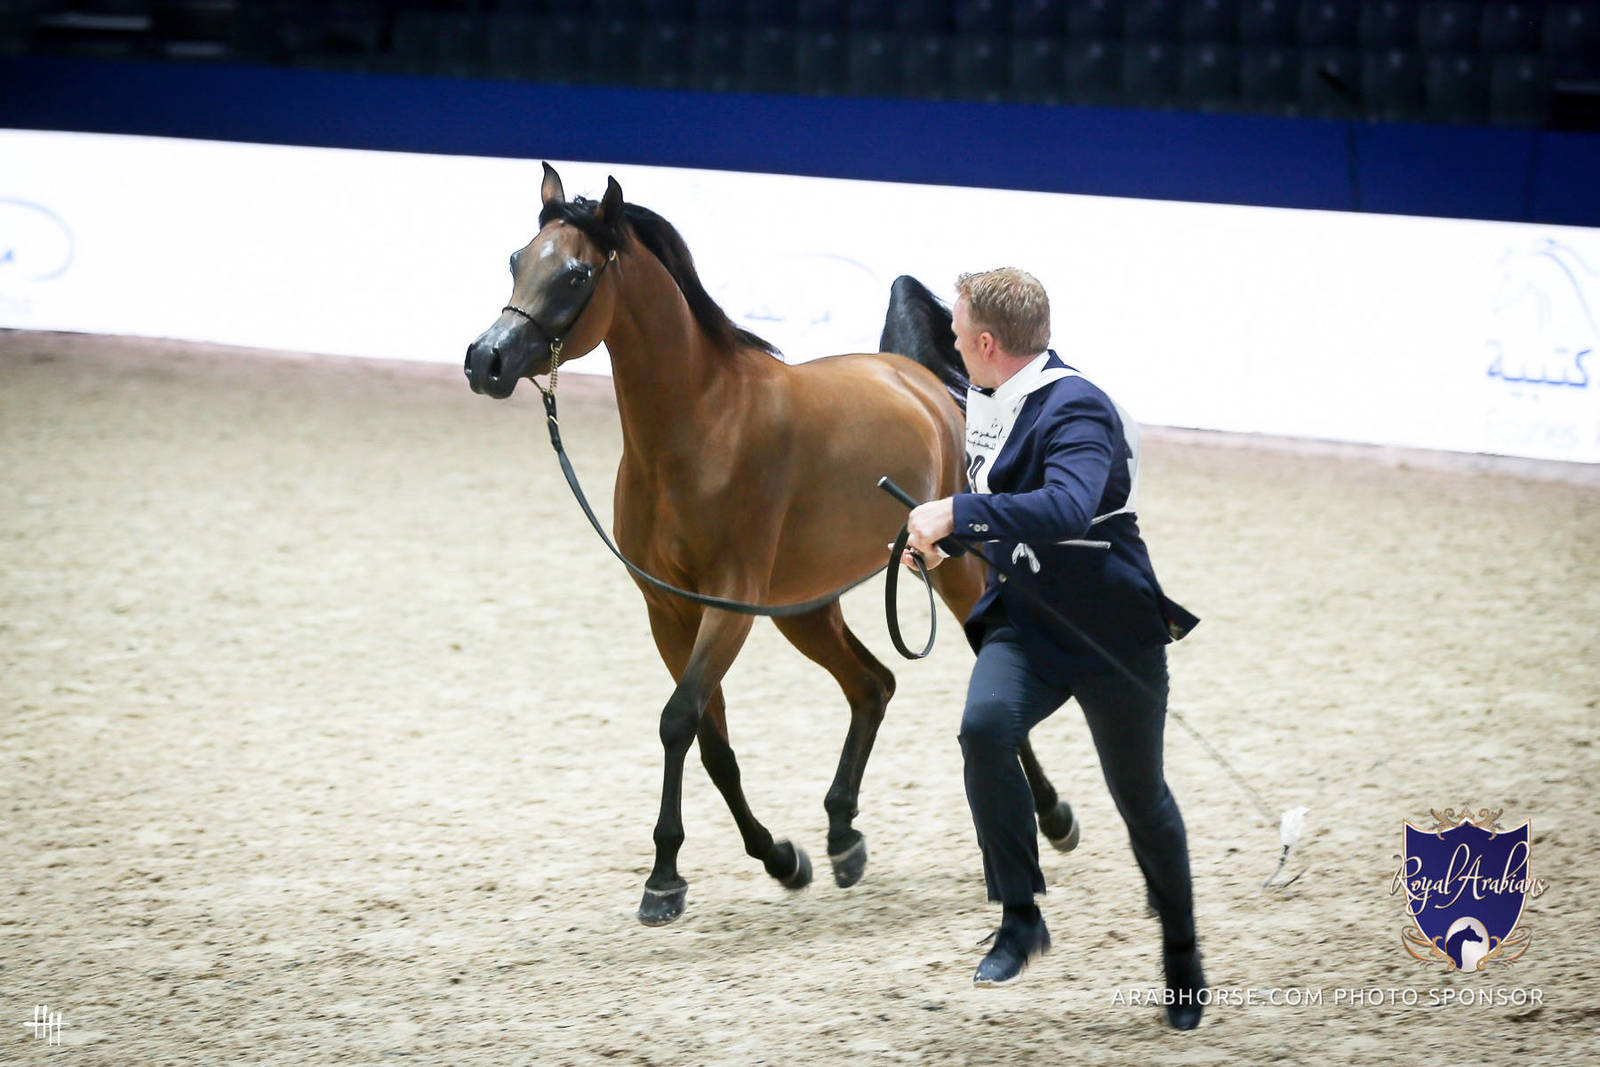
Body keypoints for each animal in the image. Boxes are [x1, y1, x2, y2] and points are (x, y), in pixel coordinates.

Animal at [465, 164, 1078, 926]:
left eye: (576, 274)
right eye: (516, 259)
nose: (485, 360)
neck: (700, 428)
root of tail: (919, 380)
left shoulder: (729, 601)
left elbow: (678, 720)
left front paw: (664, 879)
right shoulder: (670, 610)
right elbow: (710, 738)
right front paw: (782, 859)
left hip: (952, 573)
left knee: (980, 674)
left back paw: (1054, 818)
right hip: (805, 608)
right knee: (873, 684)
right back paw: (843, 836)